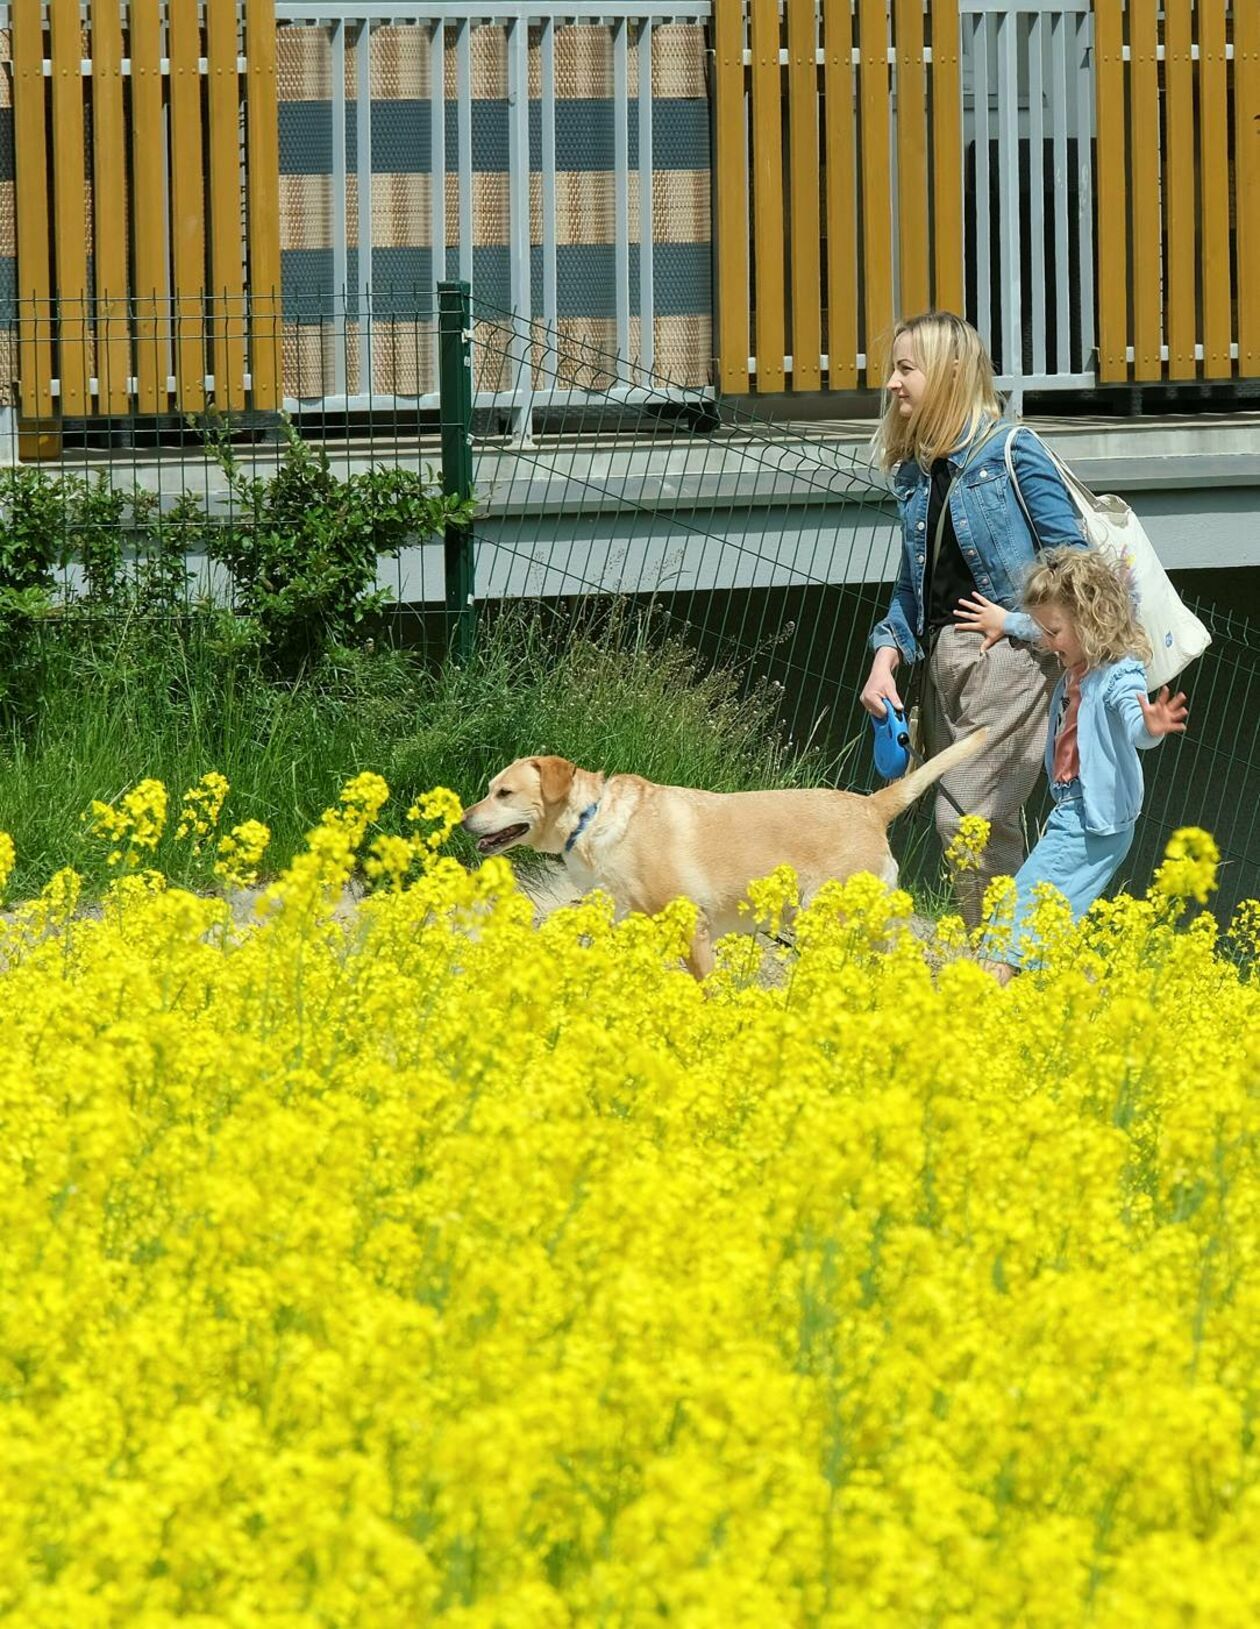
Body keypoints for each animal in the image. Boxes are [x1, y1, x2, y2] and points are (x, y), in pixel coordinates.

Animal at [462, 739, 984, 977]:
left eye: (504, 793)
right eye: (489, 789)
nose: (463, 820)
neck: (593, 820)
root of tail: (872, 806)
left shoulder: (694, 929)